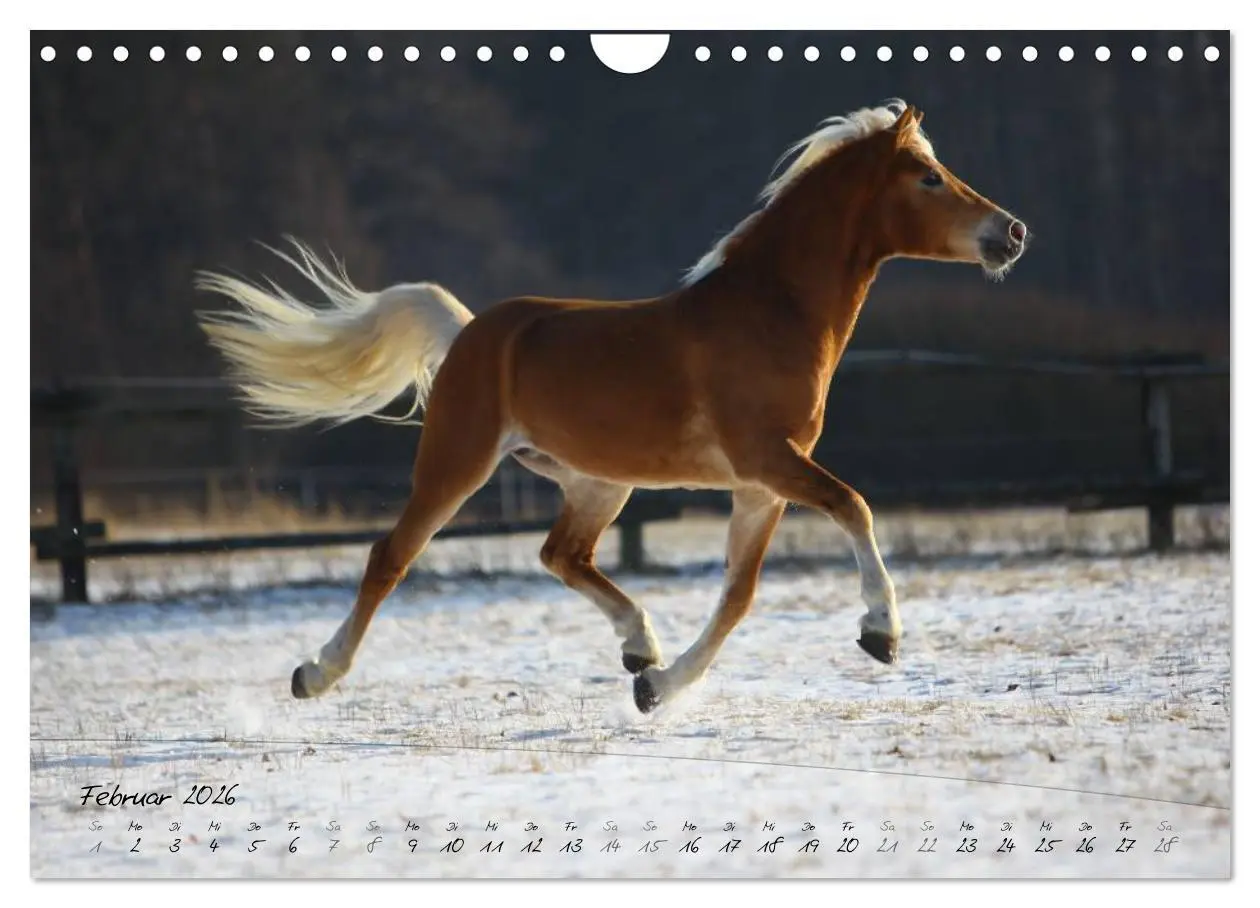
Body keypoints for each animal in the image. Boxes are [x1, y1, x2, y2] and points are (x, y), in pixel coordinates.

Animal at [196, 100, 1027, 714]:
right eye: (928, 177)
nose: (1012, 232)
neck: (771, 313)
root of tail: (469, 332)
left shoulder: (761, 486)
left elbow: (738, 596)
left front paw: (658, 687)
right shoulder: (771, 462)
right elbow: (854, 506)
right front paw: (882, 634)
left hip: (599, 482)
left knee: (561, 555)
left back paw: (640, 647)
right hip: (457, 465)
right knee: (389, 558)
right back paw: (315, 674)